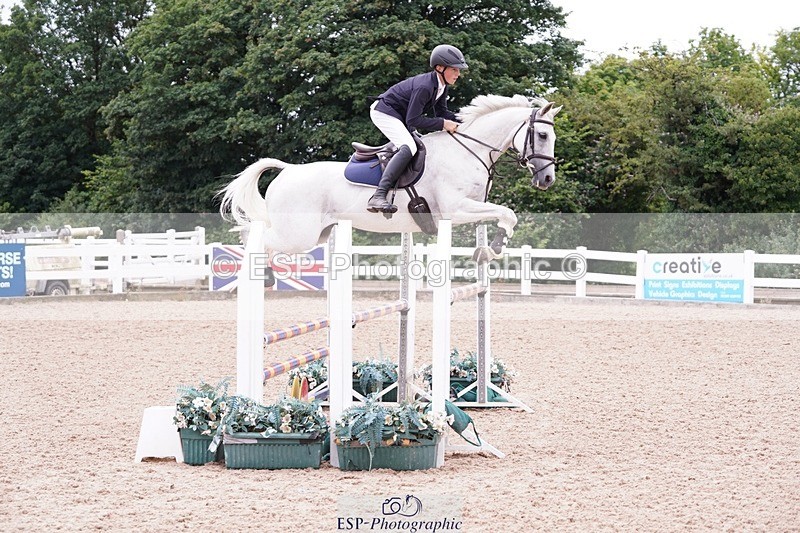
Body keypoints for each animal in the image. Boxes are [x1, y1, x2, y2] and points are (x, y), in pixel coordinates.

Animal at [219, 94, 561, 262]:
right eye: (543, 135)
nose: (547, 180)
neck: (468, 150)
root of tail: (288, 170)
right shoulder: (456, 209)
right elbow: (508, 213)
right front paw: (495, 248)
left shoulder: (473, 207)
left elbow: (503, 216)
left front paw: (489, 249)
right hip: (297, 235)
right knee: (254, 237)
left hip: (316, 234)